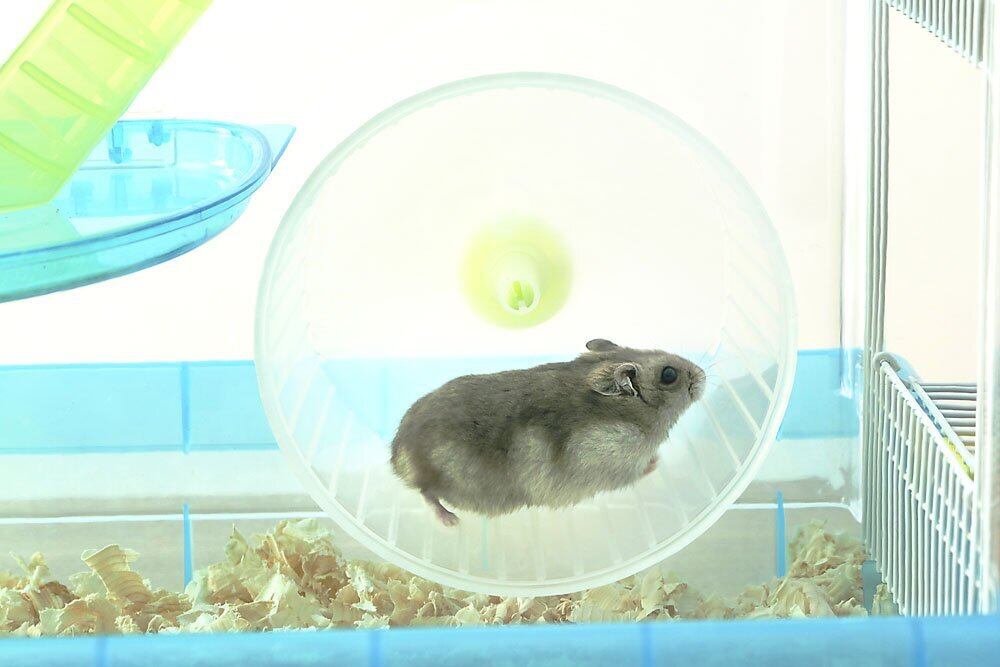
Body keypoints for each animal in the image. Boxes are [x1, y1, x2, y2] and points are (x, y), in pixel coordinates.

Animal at [390, 339, 706, 526]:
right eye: (669, 375)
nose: (703, 375)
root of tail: (397, 456)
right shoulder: (618, 461)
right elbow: (640, 469)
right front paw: (657, 461)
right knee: (426, 492)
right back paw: (451, 521)